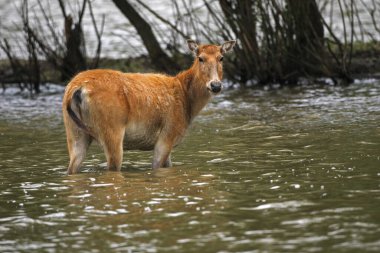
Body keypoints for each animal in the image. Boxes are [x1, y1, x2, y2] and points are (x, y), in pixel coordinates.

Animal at [62, 39, 235, 174]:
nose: (215, 85)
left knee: (72, 167)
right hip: (111, 128)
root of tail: (77, 89)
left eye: (221, 58)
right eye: (200, 58)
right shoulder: (168, 134)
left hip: (74, 131)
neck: (188, 104)